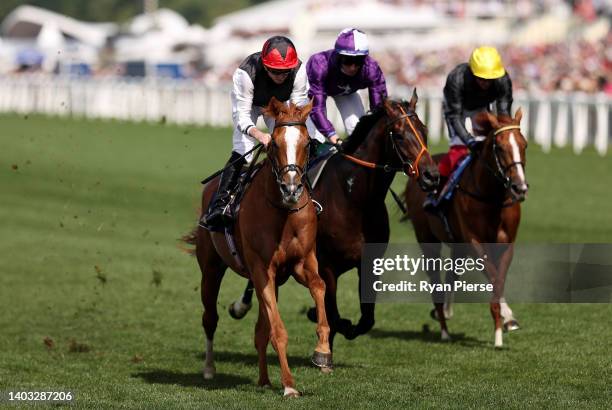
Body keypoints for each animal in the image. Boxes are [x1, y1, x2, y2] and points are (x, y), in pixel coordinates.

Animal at [227, 91, 438, 348]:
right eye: (398, 135)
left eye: (424, 130)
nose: (431, 175)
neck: (354, 197)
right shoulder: (326, 265)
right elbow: (333, 314)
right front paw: (320, 325)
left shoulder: (369, 263)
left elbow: (366, 319)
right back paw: (240, 305)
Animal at [404, 108, 528, 346]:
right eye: (500, 147)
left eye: (524, 144)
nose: (520, 187)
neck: (492, 197)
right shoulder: (474, 241)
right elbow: (493, 277)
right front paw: (499, 330)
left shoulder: (506, 242)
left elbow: (498, 278)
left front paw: (507, 320)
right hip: (427, 239)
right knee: (436, 281)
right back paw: (443, 328)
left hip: (457, 245)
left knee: (452, 274)